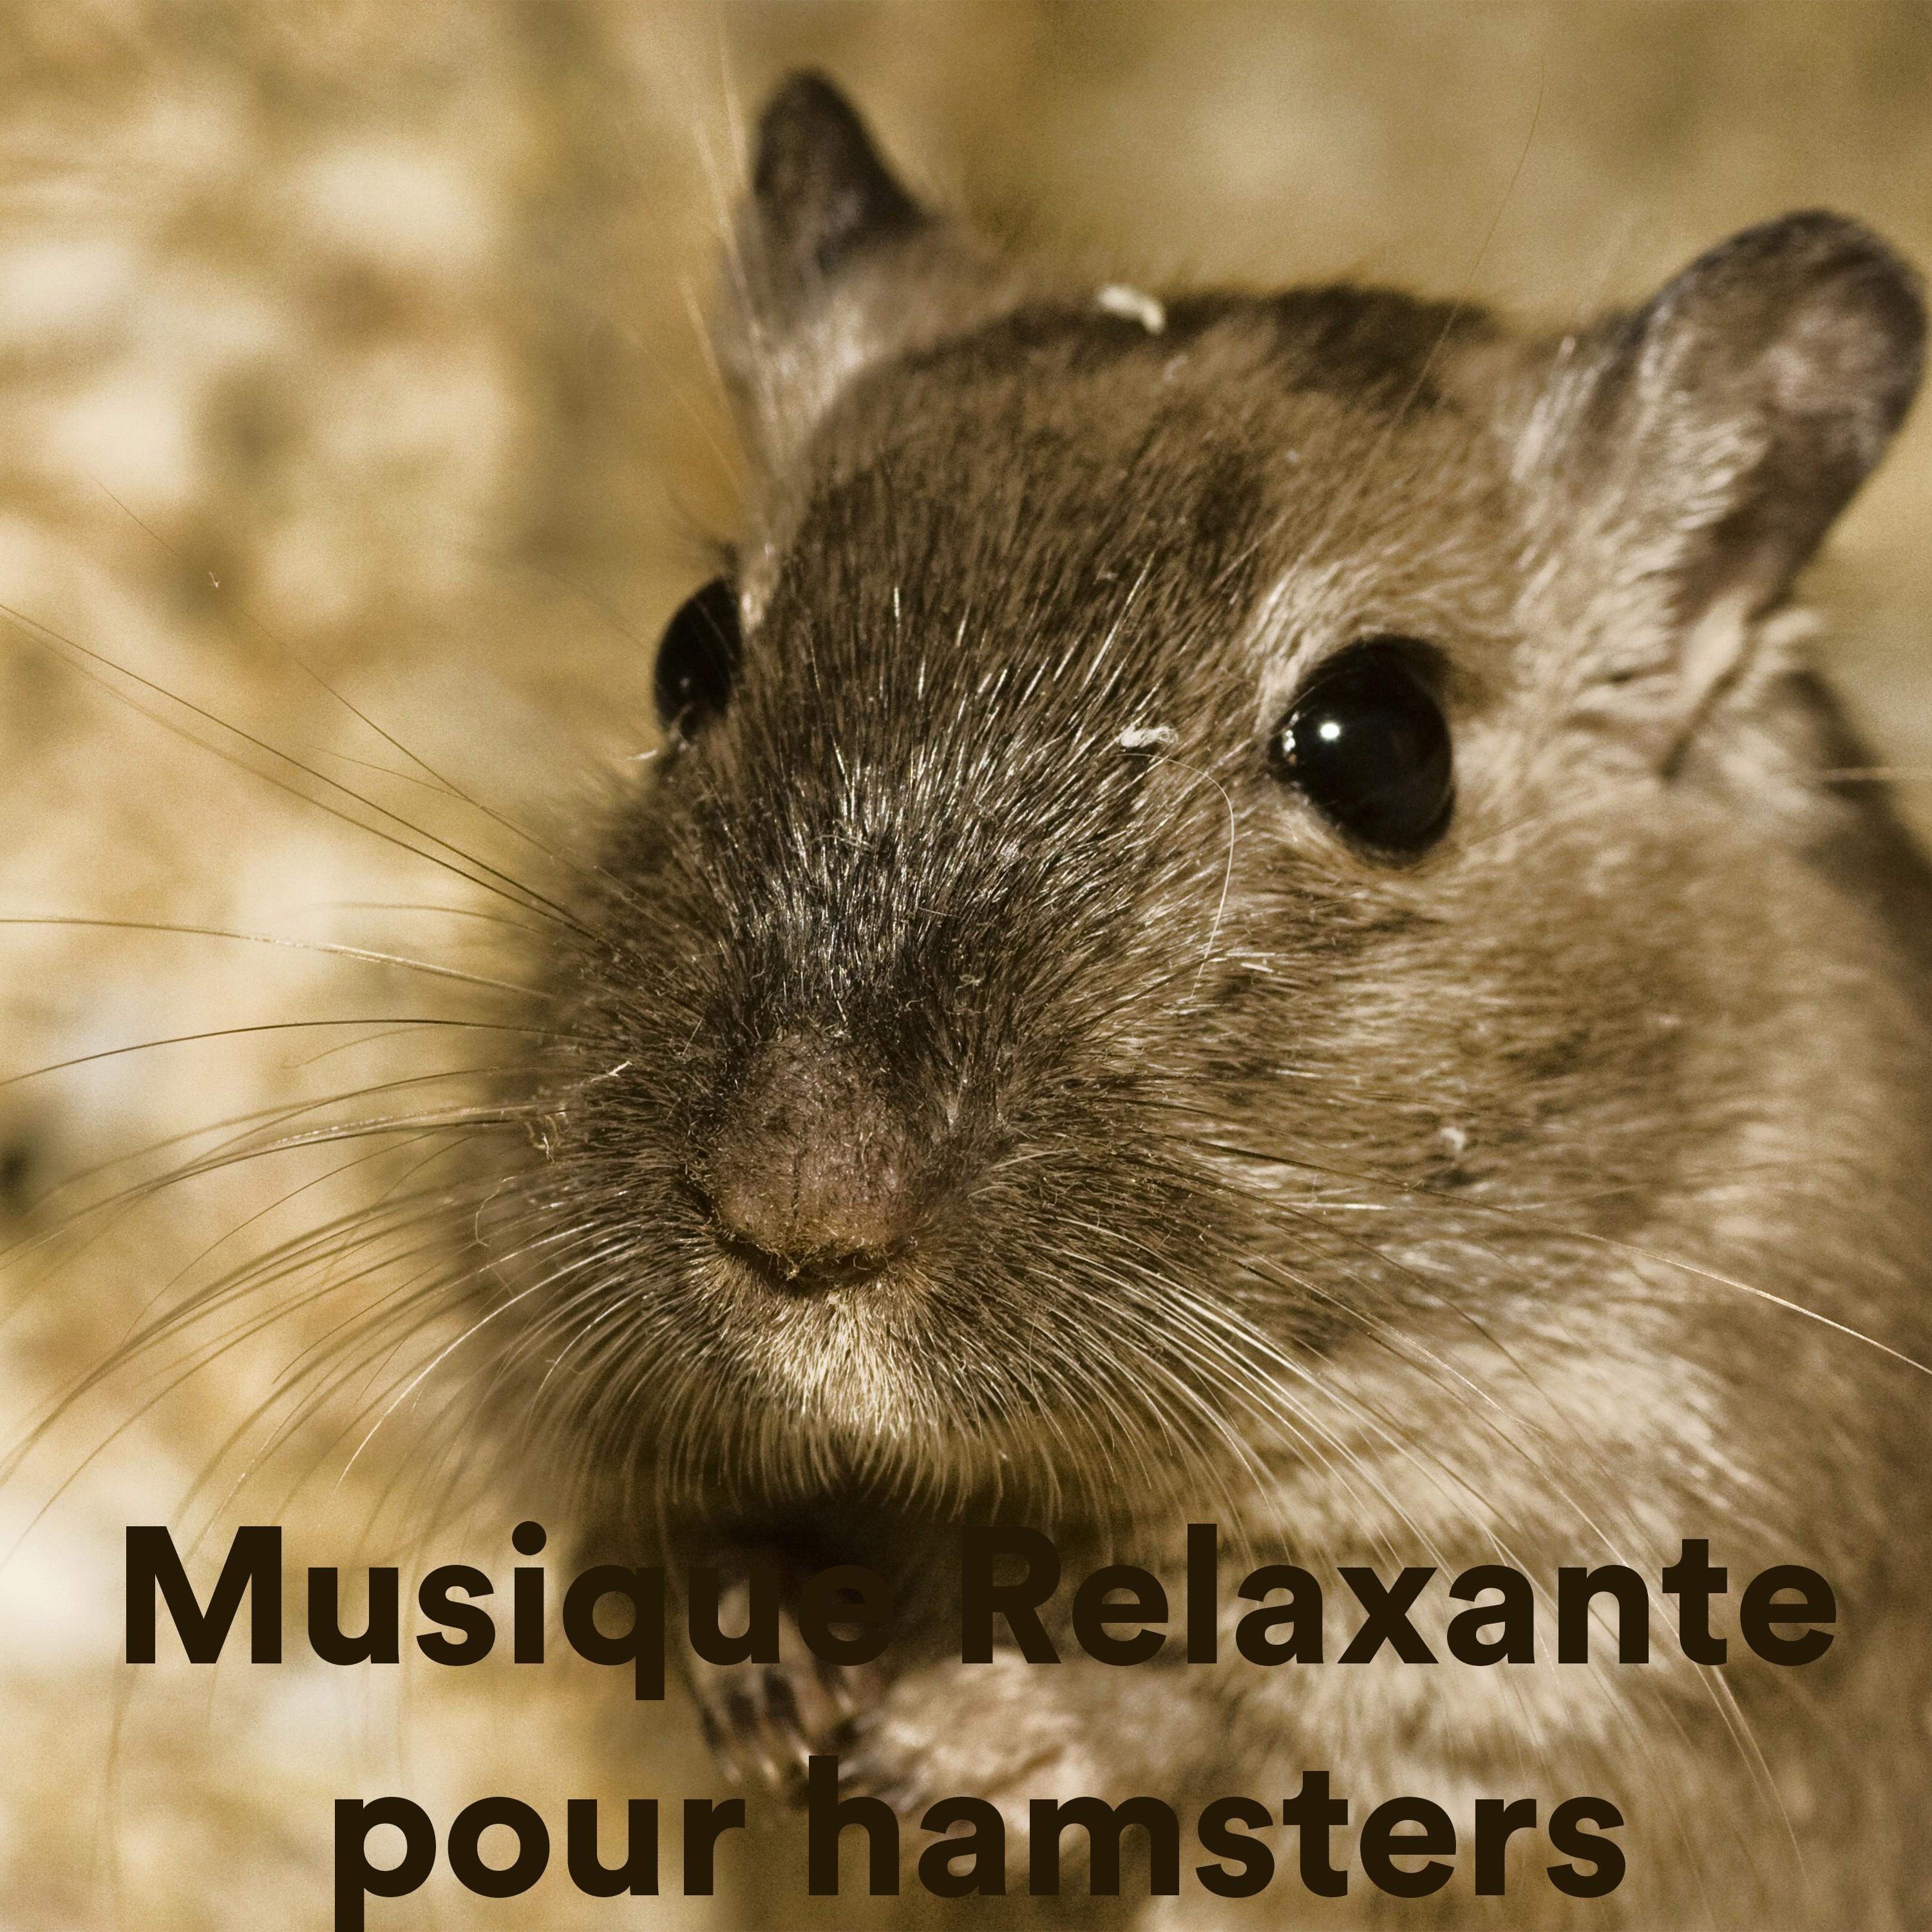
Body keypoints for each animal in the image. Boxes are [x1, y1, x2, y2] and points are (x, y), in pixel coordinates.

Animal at [470, 69, 1932, 1929]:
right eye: (685, 655)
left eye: (1385, 747)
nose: (792, 1220)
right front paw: (779, 1689)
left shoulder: (1645, 1582)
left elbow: (1248, 1696)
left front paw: (940, 1749)